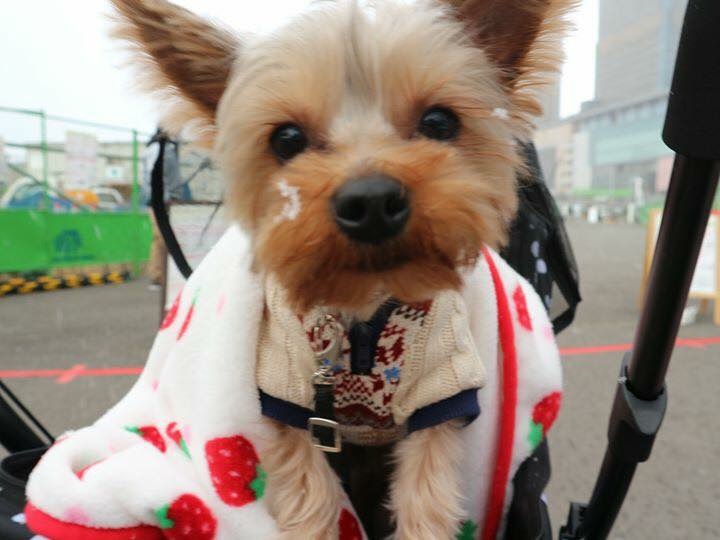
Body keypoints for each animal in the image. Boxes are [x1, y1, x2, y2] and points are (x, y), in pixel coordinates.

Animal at [112, 1, 572, 536]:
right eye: (286, 138)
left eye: (440, 122)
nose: (371, 200)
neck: (364, 304)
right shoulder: (289, 395)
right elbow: (310, 498)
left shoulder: (441, 383)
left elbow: (427, 495)